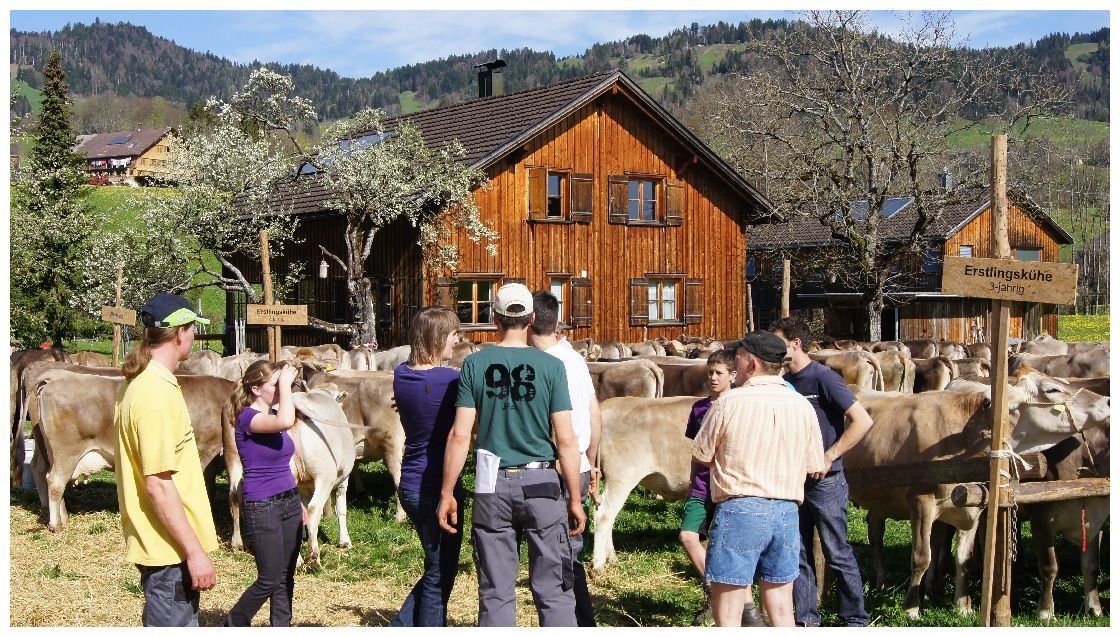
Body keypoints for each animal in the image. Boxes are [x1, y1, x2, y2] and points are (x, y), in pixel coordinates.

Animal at [29, 369, 235, 532]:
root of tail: (58, 376)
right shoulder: (206, 451)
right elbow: (206, 488)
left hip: (52, 453)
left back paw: (63, 518)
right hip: (66, 452)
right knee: (55, 482)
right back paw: (56, 525)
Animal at [848, 371, 1109, 618]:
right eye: (1052, 389)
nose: (1106, 401)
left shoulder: (972, 508)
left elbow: (964, 560)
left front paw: (963, 606)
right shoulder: (922, 503)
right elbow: (921, 558)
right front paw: (912, 608)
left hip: (880, 497)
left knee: (875, 531)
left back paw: (882, 581)